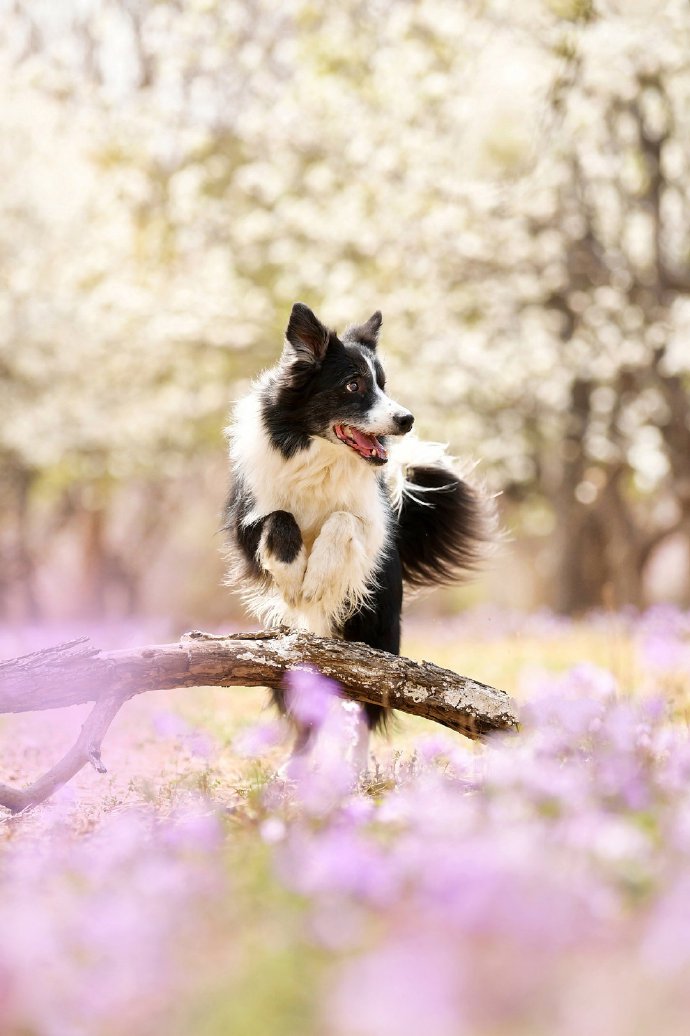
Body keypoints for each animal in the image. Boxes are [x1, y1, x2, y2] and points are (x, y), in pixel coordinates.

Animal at [222, 300, 486, 762]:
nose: (407, 420)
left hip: (376, 632)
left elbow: (342, 520)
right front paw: (294, 578)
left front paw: (316, 578)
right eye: (353, 385)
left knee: (366, 703)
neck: (318, 456)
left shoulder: (373, 525)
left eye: (382, 383)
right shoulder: (245, 519)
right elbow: (280, 519)